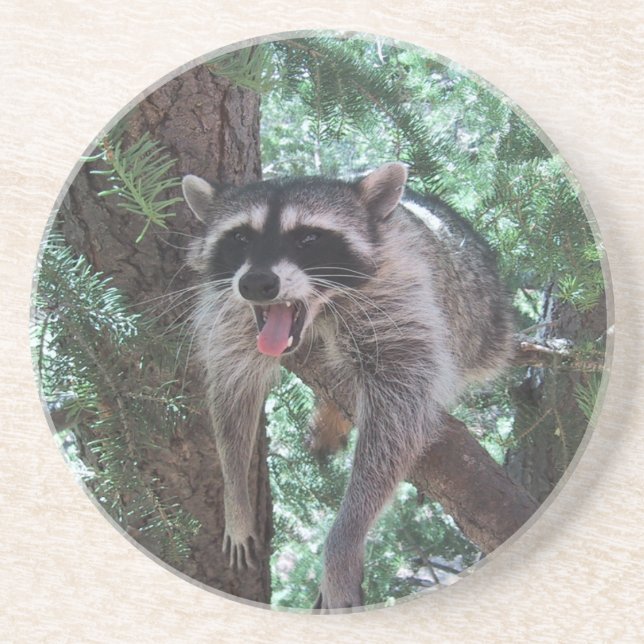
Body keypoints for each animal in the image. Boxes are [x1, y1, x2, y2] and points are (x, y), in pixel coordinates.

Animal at [182, 163, 514, 611]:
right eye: (240, 237)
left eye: (308, 238)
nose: (256, 284)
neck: (320, 311)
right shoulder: (231, 315)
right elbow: (231, 389)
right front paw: (236, 497)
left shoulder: (399, 295)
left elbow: (397, 417)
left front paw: (344, 538)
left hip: (481, 323)